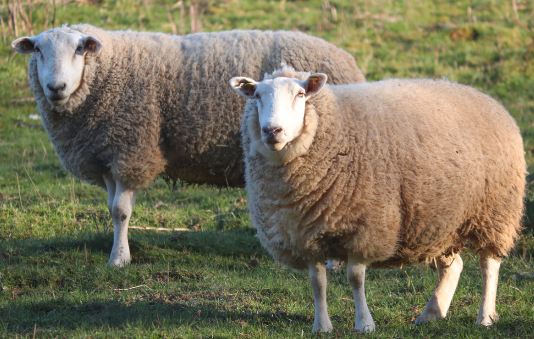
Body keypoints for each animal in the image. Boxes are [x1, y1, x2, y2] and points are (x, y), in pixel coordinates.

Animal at [9, 23, 368, 268]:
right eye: (38, 51)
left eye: (79, 50)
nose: (56, 87)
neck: (107, 74)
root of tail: (348, 60)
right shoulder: (108, 153)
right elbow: (112, 209)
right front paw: (117, 251)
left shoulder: (132, 149)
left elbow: (122, 211)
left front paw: (119, 260)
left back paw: (333, 260)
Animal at [230, 67, 528, 334]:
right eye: (257, 96)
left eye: (301, 94)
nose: (272, 131)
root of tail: (485, 97)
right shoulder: (305, 235)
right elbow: (317, 282)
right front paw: (321, 326)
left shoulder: (365, 227)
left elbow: (355, 278)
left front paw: (364, 324)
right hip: (442, 219)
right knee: (454, 266)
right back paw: (432, 313)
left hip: (495, 211)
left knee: (489, 265)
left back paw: (485, 317)